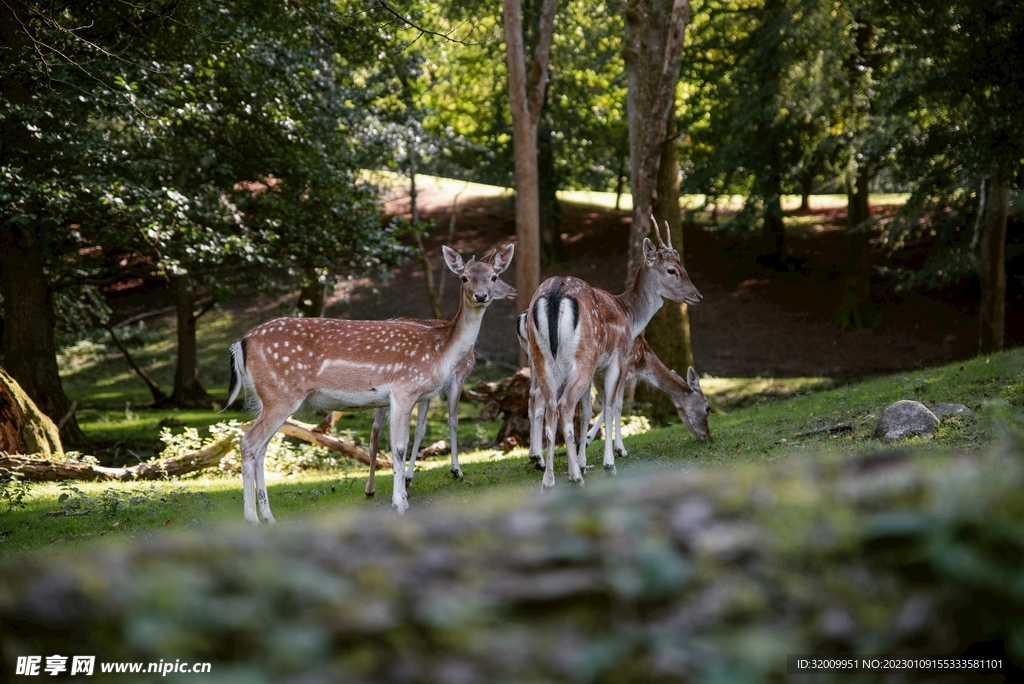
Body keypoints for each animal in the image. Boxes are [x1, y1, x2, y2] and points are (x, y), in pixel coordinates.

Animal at [224, 242, 512, 520]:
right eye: (464, 277)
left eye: (494, 276)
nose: (481, 296)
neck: (439, 350)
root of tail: (241, 342)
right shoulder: (403, 390)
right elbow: (398, 447)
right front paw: (400, 503)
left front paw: (402, 496)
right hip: (280, 395)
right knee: (249, 443)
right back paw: (252, 519)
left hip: (268, 399)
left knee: (260, 449)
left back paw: (268, 517)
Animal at [524, 216, 700, 489]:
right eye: (672, 270)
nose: (697, 295)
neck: (629, 316)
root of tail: (555, 293)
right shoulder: (619, 358)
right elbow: (611, 405)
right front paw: (610, 462)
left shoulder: (598, 367)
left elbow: (588, 411)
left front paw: (585, 462)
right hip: (583, 357)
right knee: (564, 405)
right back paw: (573, 477)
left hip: (543, 359)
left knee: (549, 405)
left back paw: (549, 479)